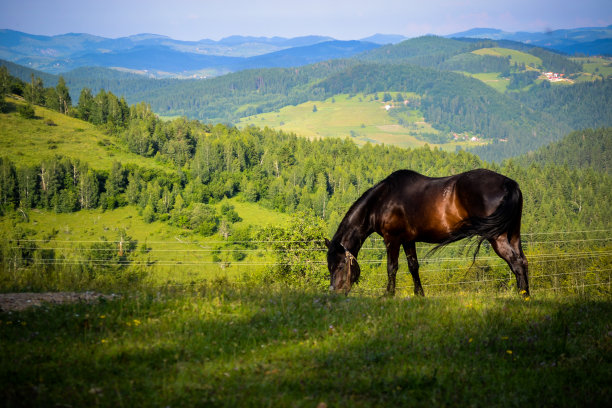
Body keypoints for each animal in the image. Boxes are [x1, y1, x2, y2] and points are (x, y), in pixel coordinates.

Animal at [326, 168, 532, 296]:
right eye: (330, 267)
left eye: (340, 265)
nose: (335, 291)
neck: (382, 200)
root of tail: (508, 183)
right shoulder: (408, 240)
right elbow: (413, 266)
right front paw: (419, 295)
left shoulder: (392, 239)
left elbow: (392, 268)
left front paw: (388, 295)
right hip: (513, 234)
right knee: (522, 260)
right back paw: (527, 296)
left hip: (497, 237)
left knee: (515, 262)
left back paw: (522, 295)